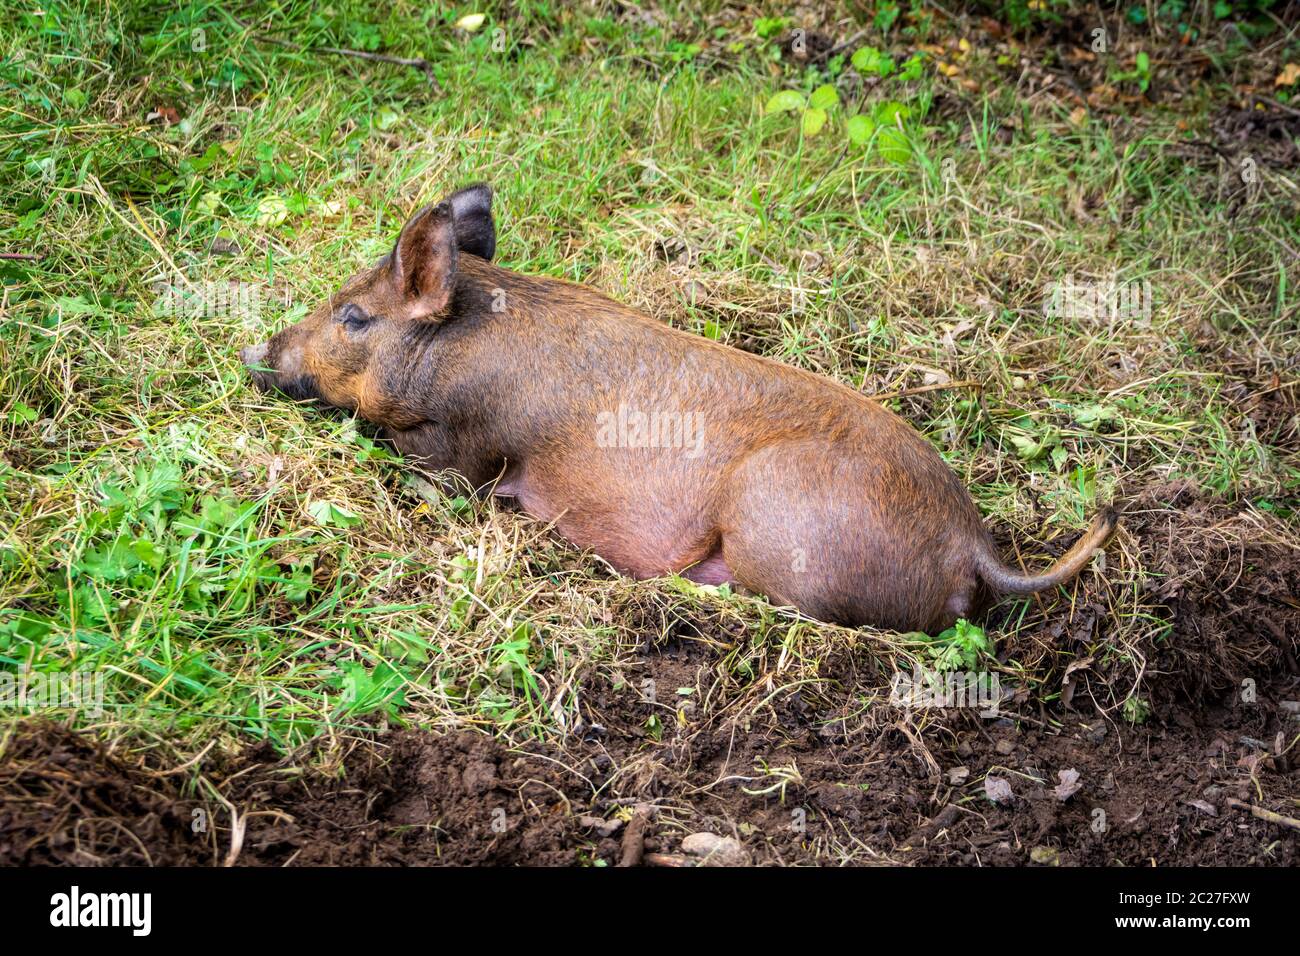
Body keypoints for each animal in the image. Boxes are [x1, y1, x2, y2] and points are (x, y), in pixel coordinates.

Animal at [244, 187, 1118, 634]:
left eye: (354, 317)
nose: (258, 351)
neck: (451, 350)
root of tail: (973, 546)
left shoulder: (464, 447)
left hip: (776, 529)